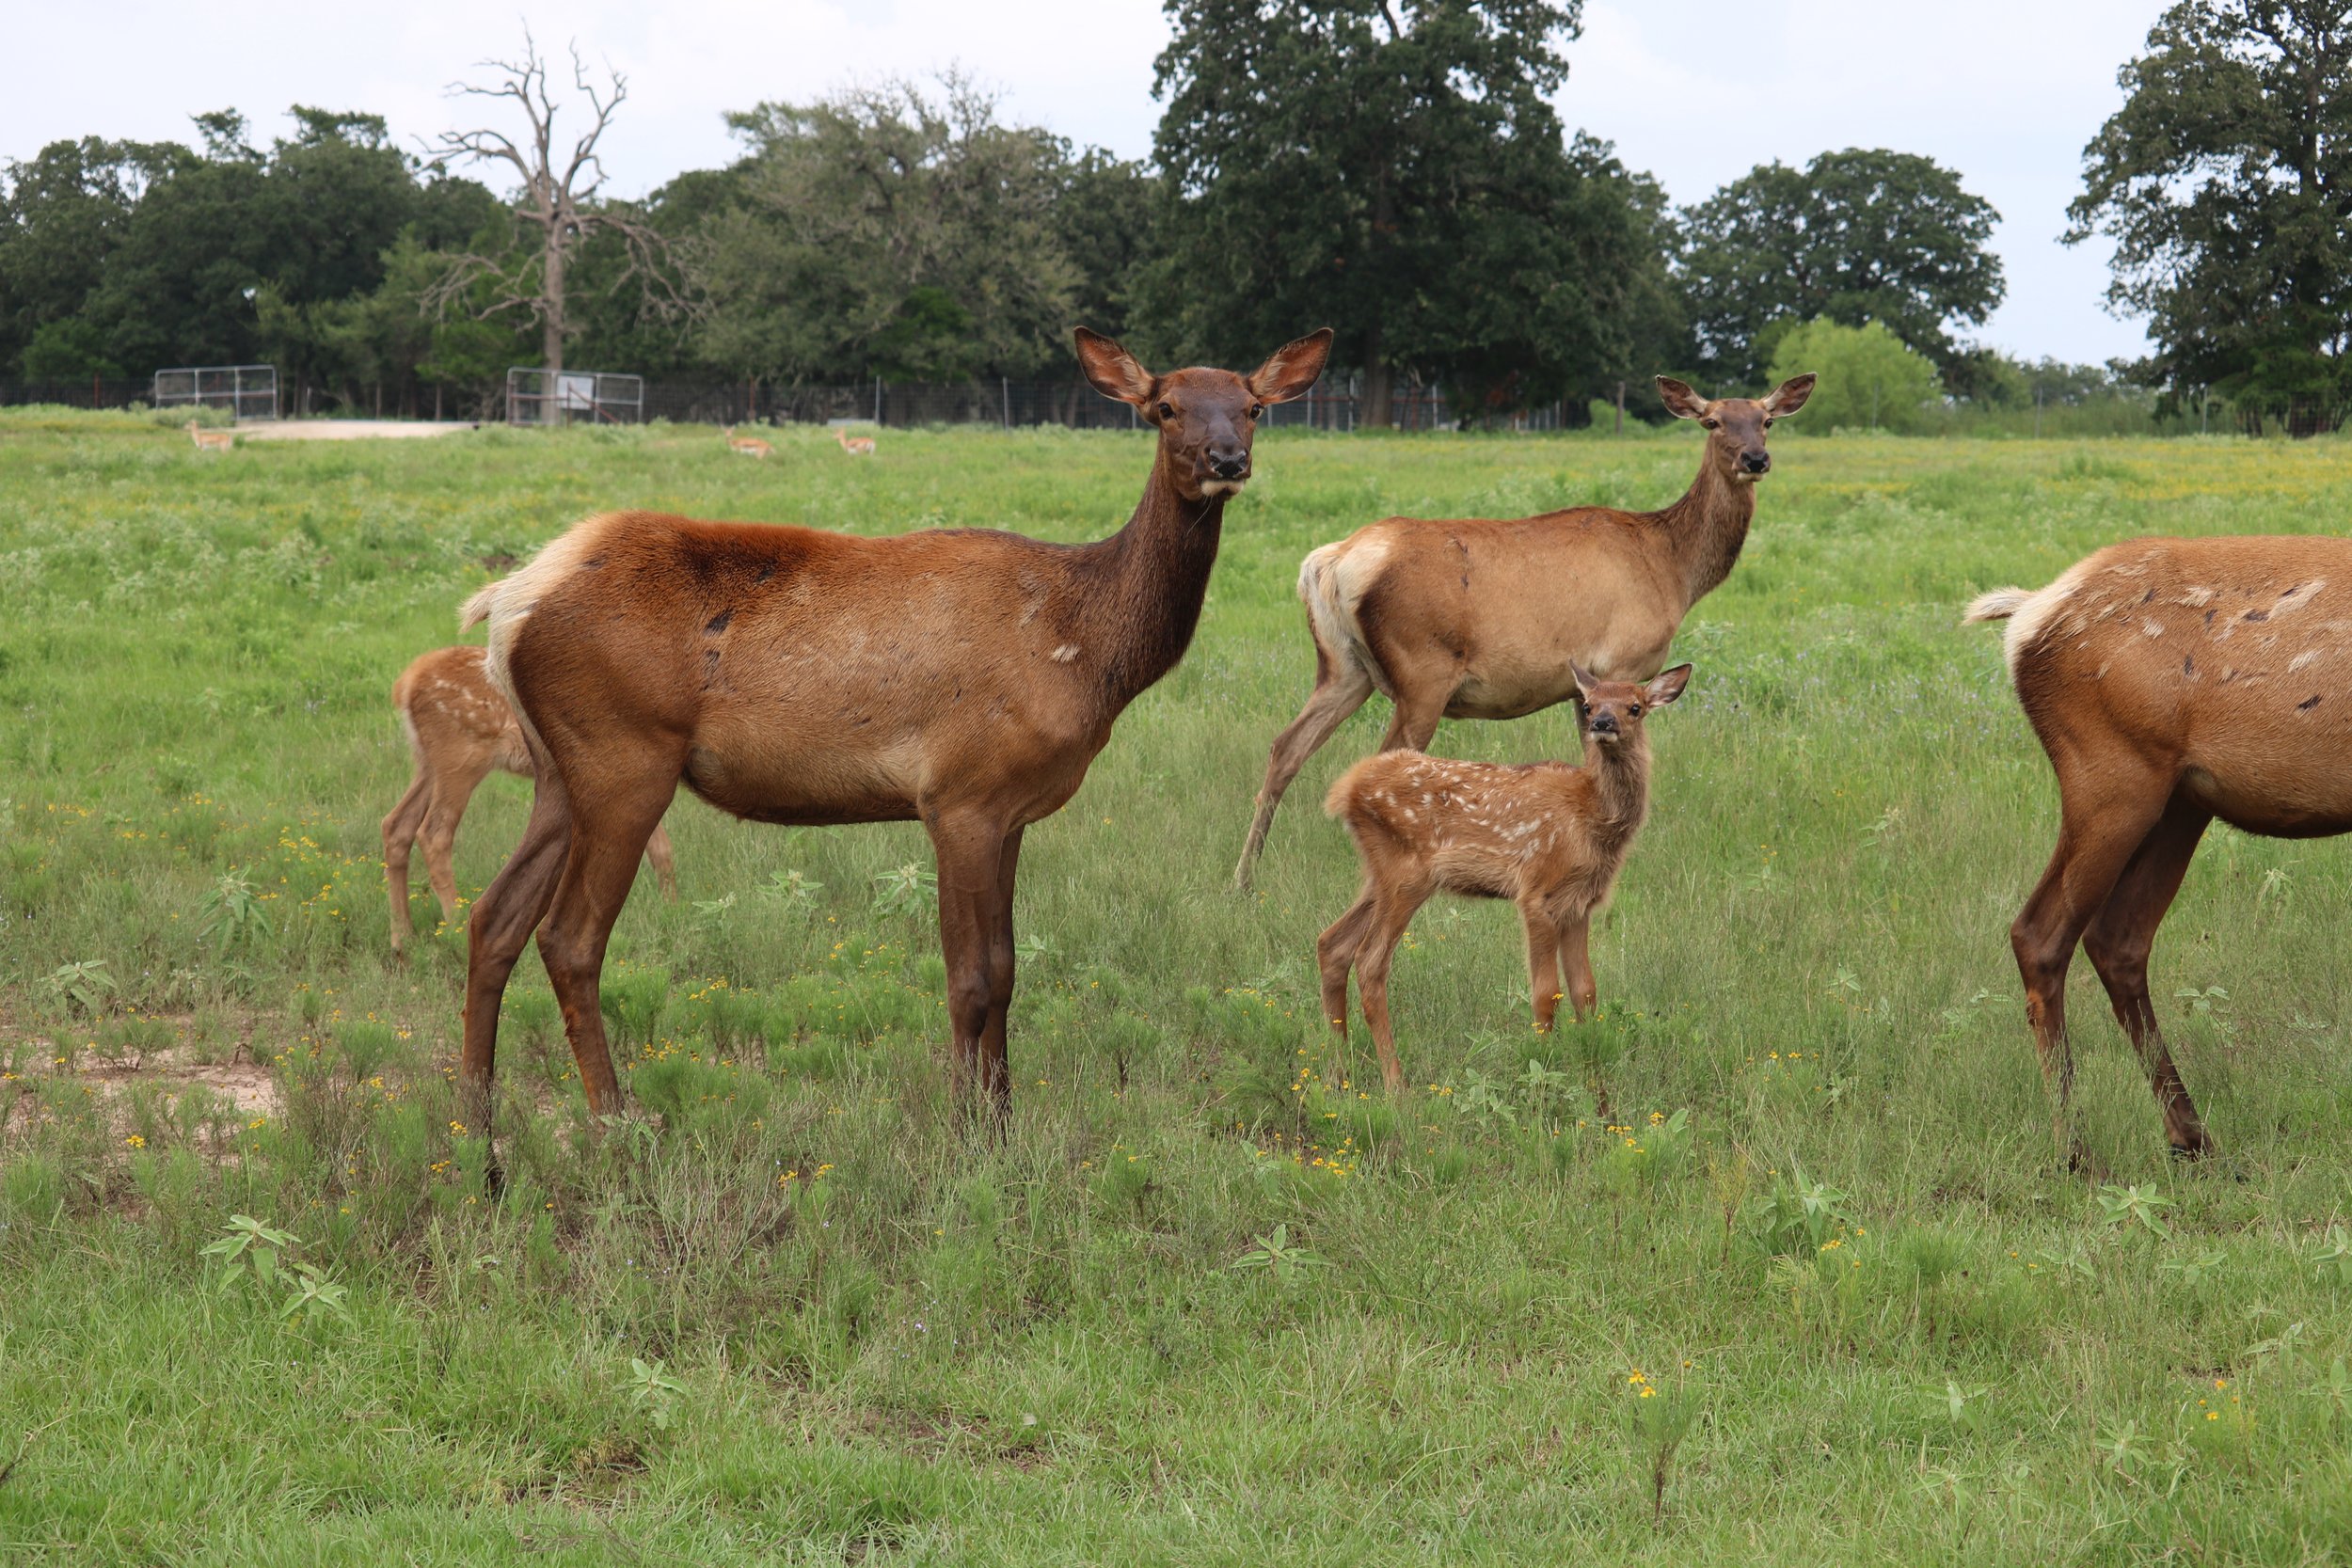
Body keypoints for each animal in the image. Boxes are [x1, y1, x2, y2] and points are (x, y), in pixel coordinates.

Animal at [383, 645, 677, 959]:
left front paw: (670, 908)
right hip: (461, 756)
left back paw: (402, 938)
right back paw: (456, 928)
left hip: (427, 762)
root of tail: (407, 683)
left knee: (396, 824)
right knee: (433, 833)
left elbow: (660, 849)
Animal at [454, 325, 1333, 1135]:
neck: (1082, 647)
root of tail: (507, 603)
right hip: (624, 755)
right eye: (1165, 406)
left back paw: (479, 1122)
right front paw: (964, 1132)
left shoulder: (1011, 810)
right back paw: (618, 1123)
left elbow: (1008, 970)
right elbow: (969, 976)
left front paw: (1004, 1120)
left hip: (559, 768)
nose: (1227, 457)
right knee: (570, 939)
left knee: (493, 919)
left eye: (1253, 406)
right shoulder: (959, 794)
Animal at [1232, 372, 1814, 890]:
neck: (1674, 568)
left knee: (1285, 748)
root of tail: (1330, 562)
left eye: (1766, 421)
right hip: (1422, 670)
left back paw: (1244, 877)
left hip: (1343, 665)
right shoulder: (1618, 663)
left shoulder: (1580, 686)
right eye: (1712, 421)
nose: (1755, 459)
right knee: (1384, 760)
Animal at [1317, 664, 1691, 1094]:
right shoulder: (1536, 891)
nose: (1601, 723)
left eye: (1635, 707)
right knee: (1369, 960)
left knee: (1332, 943)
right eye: (1588, 705)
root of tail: (1346, 788)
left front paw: (1596, 1087)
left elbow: (1586, 992)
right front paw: (1543, 1080)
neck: (1592, 818)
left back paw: (1337, 1075)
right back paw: (1396, 1086)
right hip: (1407, 873)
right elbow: (1546, 994)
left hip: (1378, 875)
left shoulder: (1579, 903)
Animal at [1967, 535, 2352, 1166]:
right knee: (2040, 932)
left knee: (2117, 938)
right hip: (2114, 777)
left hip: (2181, 802)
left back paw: (2190, 1137)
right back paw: (2077, 1152)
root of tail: (2028, 614)